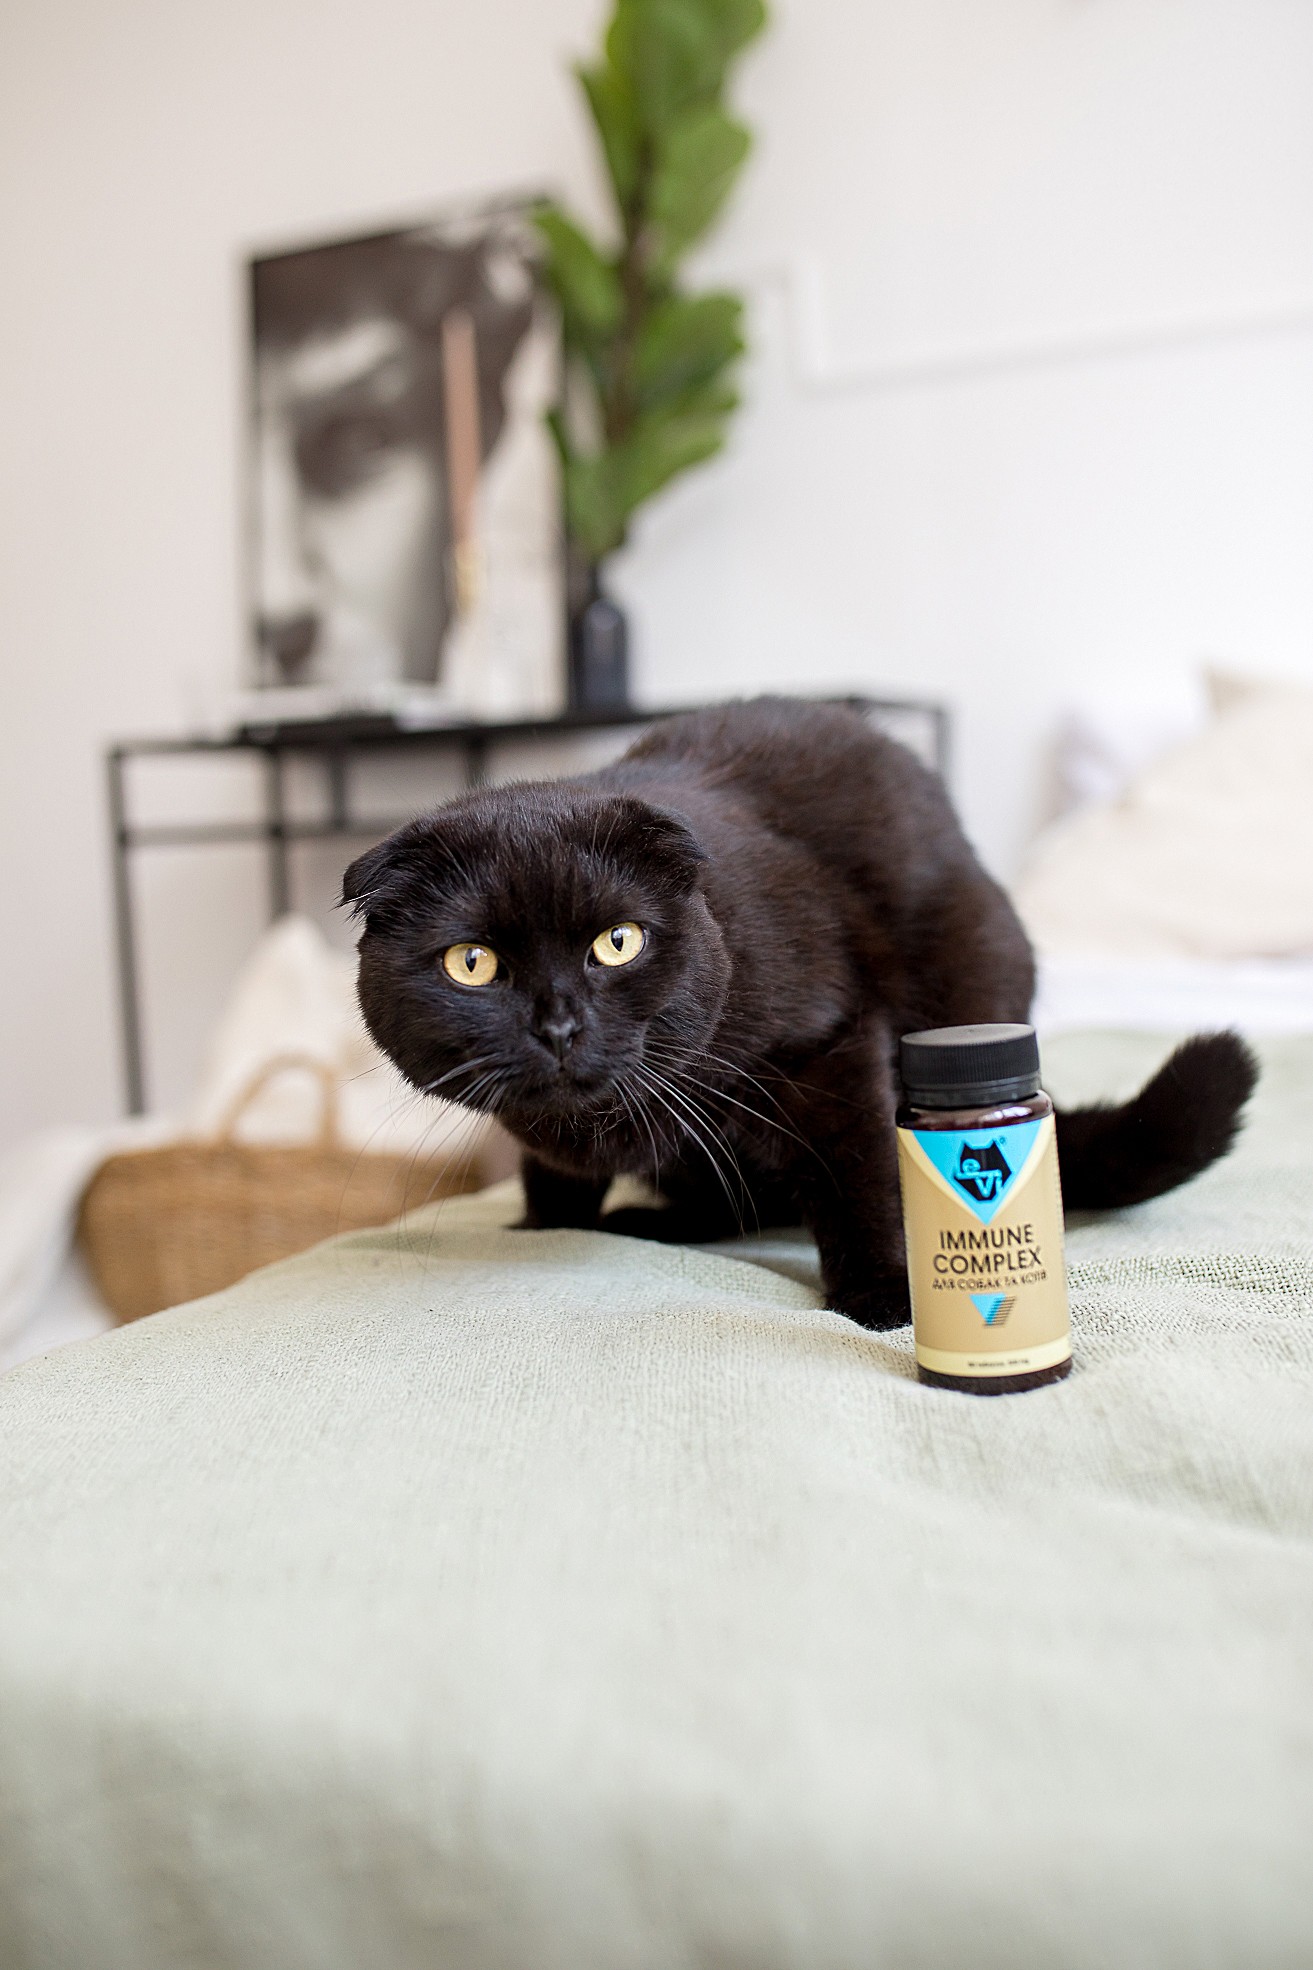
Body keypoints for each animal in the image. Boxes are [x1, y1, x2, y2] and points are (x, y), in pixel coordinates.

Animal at [344, 697, 1257, 1328]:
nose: (559, 1025)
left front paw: (883, 1297)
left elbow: (862, 1175)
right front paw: (539, 1230)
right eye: (473, 964)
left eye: (617, 942)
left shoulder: (832, 1047)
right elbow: (553, 1177)